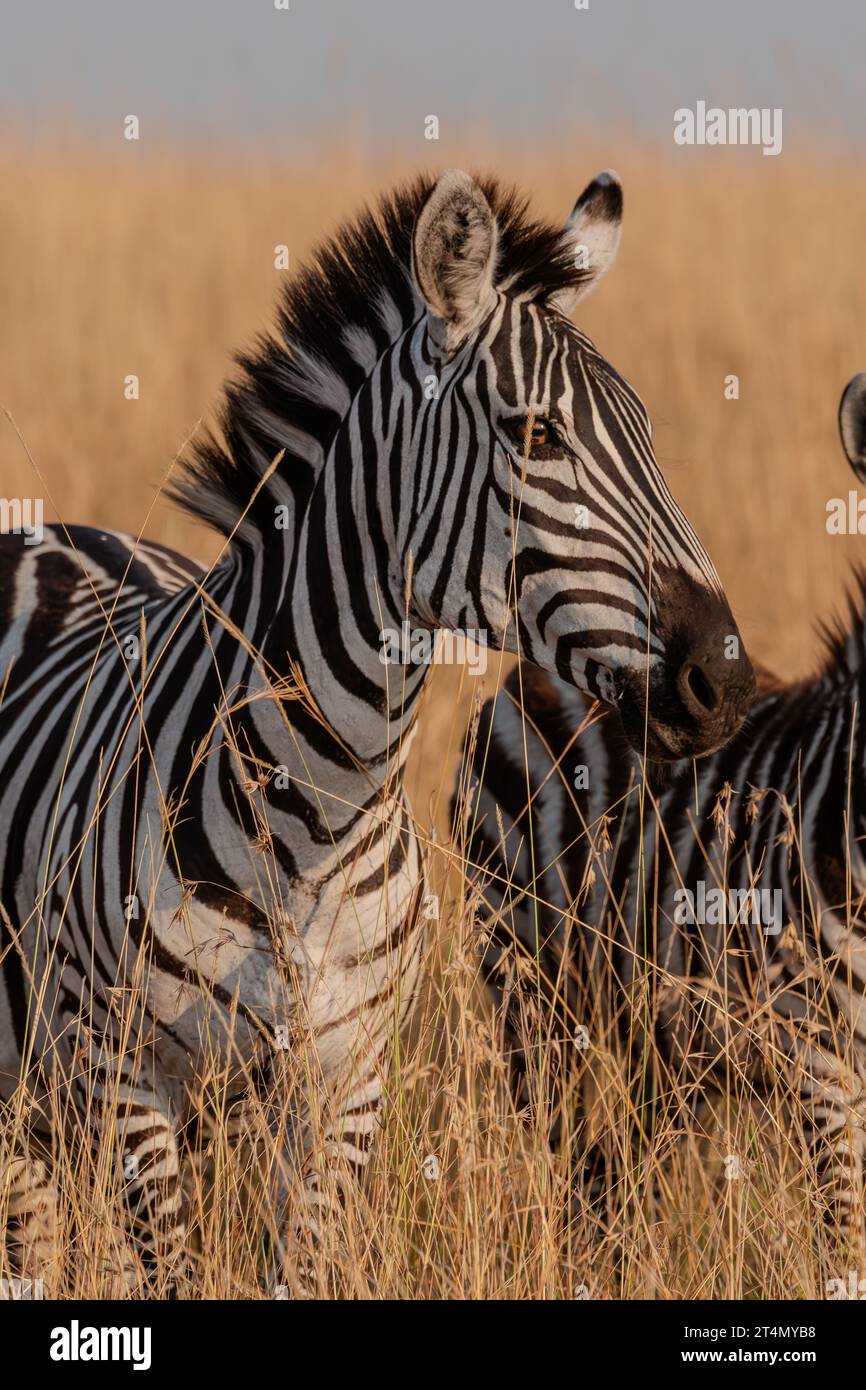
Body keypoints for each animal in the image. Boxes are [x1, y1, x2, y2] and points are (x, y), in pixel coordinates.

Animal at [0, 168, 754, 1290]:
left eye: (649, 437)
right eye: (537, 435)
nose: (725, 678)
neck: (316, 808)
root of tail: (42, 530)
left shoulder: (341, 1086)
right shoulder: (128, 1080)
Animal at [460, 372, 866, 1259]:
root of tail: (533, 671)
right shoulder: (820, 1062)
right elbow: (846, 1239)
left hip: (656, 1036)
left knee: (618, 1179)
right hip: (528, 981)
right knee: (568, 1163)